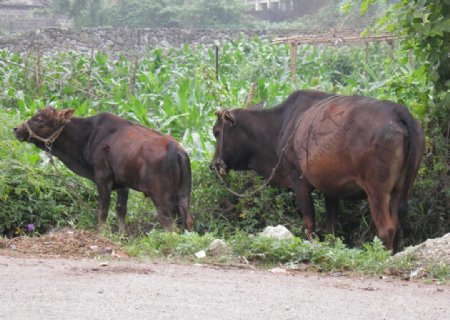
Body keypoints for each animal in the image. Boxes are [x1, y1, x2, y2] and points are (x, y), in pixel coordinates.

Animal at [13, 107, 193, 232]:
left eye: (40, 119)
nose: (17, 129)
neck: (85, 138)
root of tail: (178, 150)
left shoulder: (103, 179)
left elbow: (103, 212)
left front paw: (101, 233)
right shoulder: (123, 184)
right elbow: (120, 210)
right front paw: (122, 234)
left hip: (162, 197)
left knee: (170, 225)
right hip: (183, 195)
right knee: (188, 220)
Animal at [210, 90, 422, 252]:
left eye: (216, 132)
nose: (214, 165)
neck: (279, 126)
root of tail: (397, 111)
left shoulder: (299, 181)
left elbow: (309, 223)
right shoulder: (332, 190)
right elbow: (331, 227)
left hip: (377, 191)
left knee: (387, 229)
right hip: (399, 189)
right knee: (397, 225)